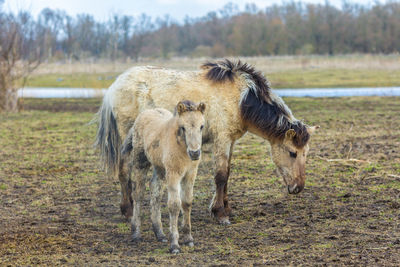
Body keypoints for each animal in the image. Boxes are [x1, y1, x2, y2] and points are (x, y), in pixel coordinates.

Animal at [94, 59, 318, 225]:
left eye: (306, 153)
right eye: (292, 152)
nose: (298, 187)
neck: (241, 100)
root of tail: (115, 85)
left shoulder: (231, 141)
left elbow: (227, 174)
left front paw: (226, 208)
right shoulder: (222, 139)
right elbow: (220, 176)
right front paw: (220, 214)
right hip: (127, 137)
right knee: (124, 170)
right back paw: (128, 211)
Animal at [120, 99, 205, 254]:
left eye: (201, 126)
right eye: (183, 127)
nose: (195, 153)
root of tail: (143, 115)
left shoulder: (190, 174)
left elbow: (187, 202)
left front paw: (188, 239)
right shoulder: (173, 173)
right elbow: (174, 205)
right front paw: (175, 245)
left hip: (159, 168)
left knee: (155, 192)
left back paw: (160, 234)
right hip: (140, 162)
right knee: (138, 194)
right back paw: (136, 233)